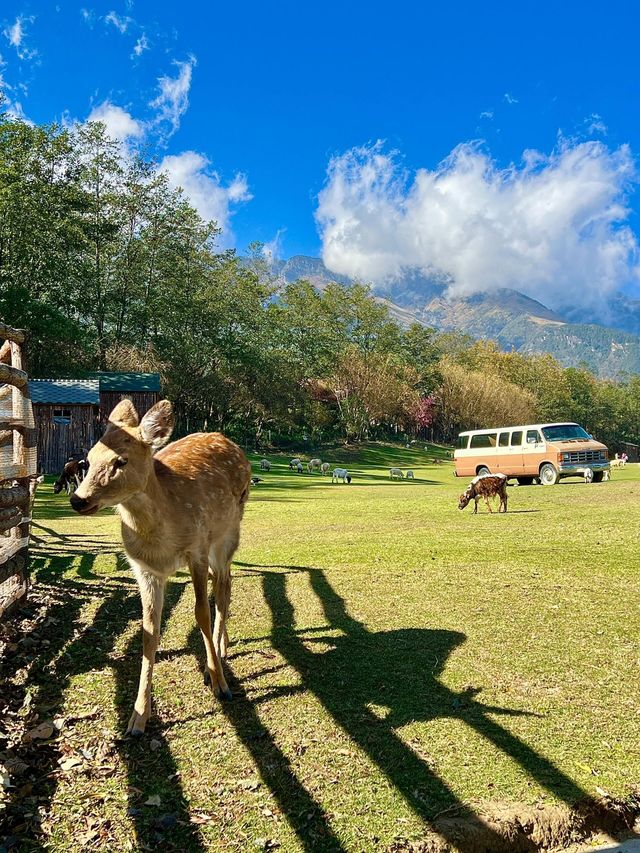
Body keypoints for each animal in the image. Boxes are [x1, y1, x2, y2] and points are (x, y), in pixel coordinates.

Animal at [70, 400, 250, 732]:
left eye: (121, 460)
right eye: (88, 459)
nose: (78, 500)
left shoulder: (197, 550)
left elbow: (201, 613)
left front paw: (220, 684)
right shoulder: (144, 569)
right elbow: (149, 630)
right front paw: (138, 716)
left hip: (229, 531)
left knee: (223, 586)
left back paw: (220, 652)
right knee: (225, 582)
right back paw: (224, 645)